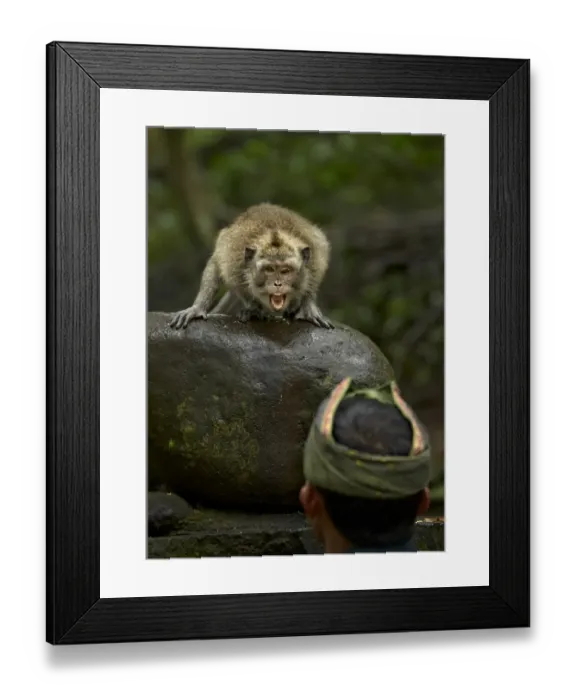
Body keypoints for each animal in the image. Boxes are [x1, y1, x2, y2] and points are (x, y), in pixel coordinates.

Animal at [169, 203, 334, 330]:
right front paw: (197, 308)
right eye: (269, 269)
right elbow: (216, 264)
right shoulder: (231, 257)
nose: (278, 284)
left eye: (285, 271)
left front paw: (307, 307)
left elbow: (314, 277)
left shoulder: (316, 254)